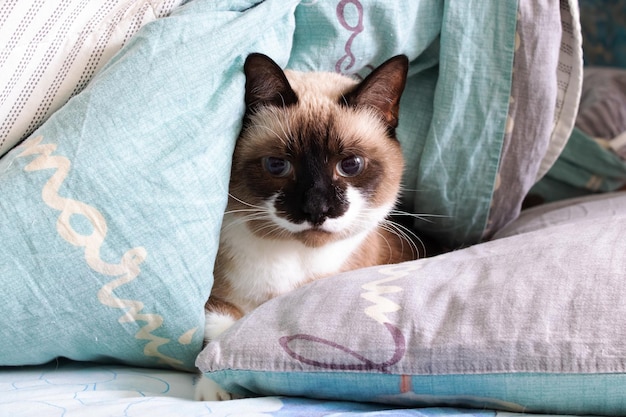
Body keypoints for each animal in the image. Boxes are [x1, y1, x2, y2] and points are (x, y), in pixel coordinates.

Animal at [194, 52, 420, 400]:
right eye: (277, 165)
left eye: (350, 165)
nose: (317, 209)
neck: (295, 264)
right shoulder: (214, 296)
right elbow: (220, 326)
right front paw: (216, 390)